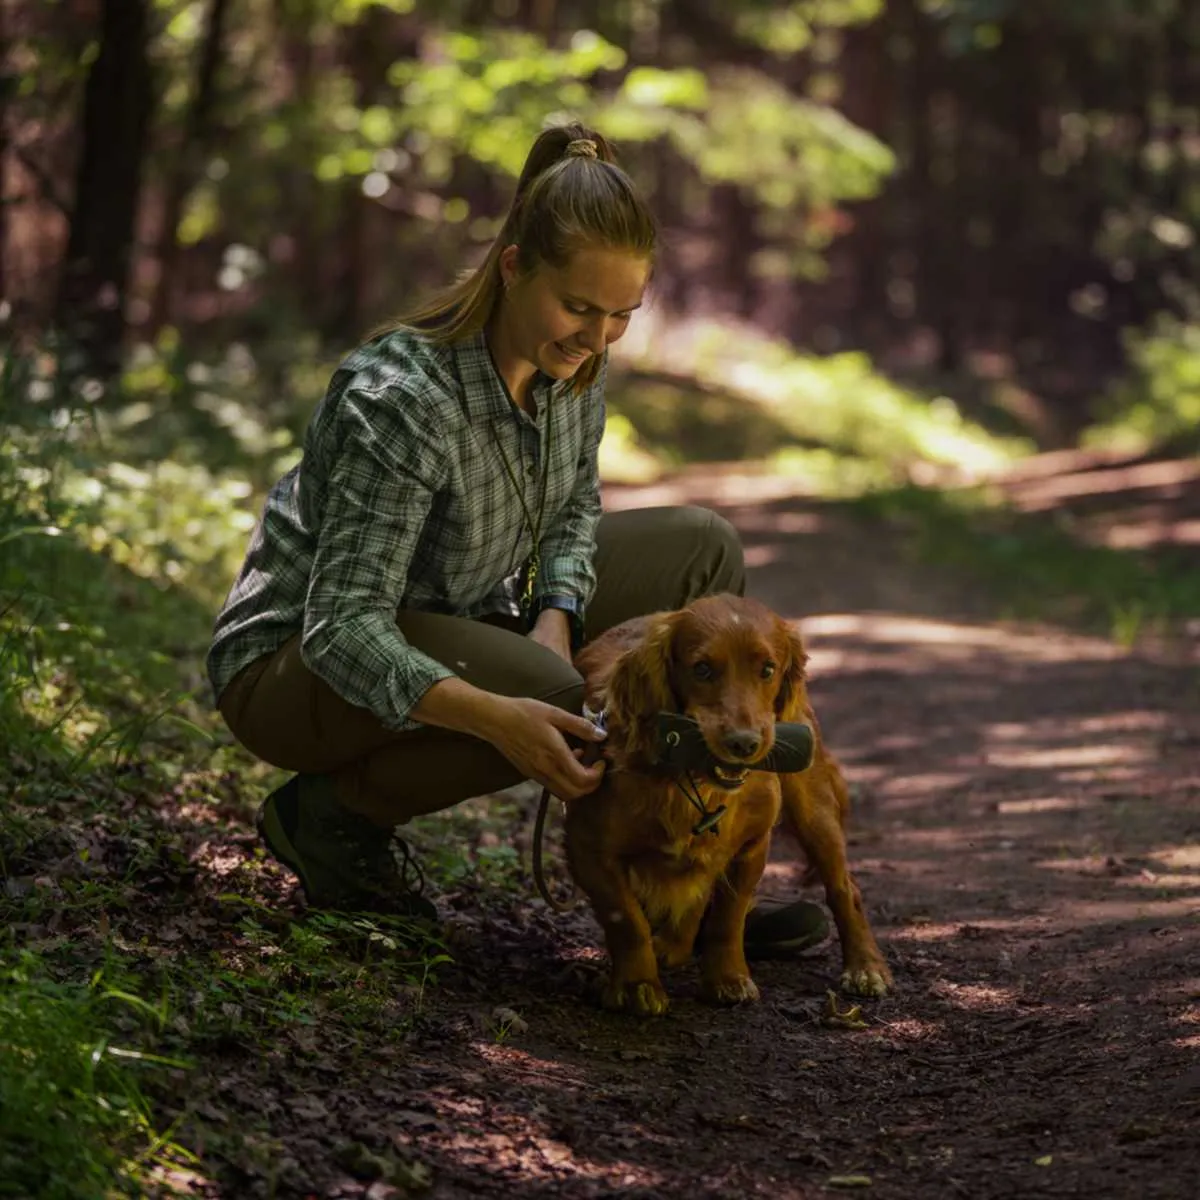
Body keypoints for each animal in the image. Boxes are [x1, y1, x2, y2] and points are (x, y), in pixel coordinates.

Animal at [564, 590, 892, 1012]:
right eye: (702, 669)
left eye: (767, 669)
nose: (744, 744)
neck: (695, 782)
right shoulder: (588, 848)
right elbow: (627, 920)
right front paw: (638, 985)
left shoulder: (751, 845)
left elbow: (728, 917)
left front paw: (727, 978)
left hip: (814, 812)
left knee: (844, 887)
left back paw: (865, 967)